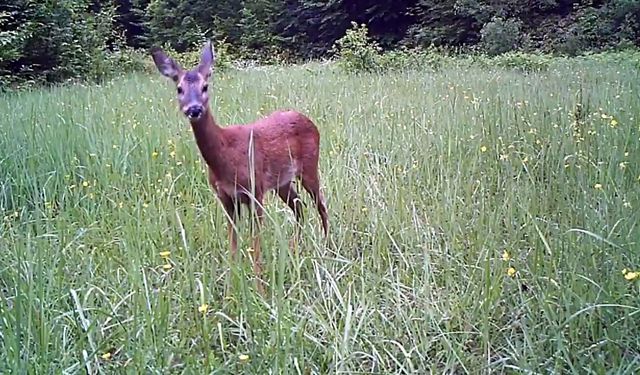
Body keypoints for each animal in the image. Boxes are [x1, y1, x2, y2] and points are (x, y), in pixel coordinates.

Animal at [151, 41, 330, 294]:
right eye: (179, 89)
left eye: (205, 86)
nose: (194, 109)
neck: (226, 158)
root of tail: (309, 120)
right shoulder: (226, 198)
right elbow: (233, 243)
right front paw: (229, 290)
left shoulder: (255, 192)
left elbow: (255, 244)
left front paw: (260, 289)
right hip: (282, 182)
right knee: (299, 206)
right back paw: (294, 250)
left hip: (309, 167)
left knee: (320, 205)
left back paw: (327, 249)